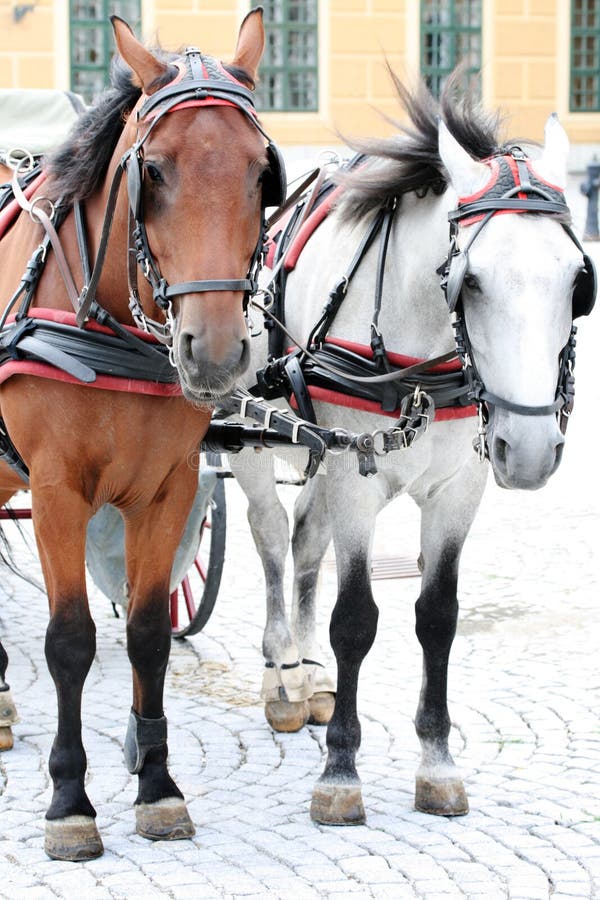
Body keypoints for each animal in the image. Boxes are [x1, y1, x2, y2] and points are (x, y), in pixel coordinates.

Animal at [0, 10, 284, 860]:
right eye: (152, 171)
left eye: (261, 173)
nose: (217, 351)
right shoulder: (56, 491)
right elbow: (70, 640)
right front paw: (69, 800)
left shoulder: (170, 487)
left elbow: (150, 632)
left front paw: (157, 784)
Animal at [229, 72, 596, 824]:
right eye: (470, 280)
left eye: (580, 283)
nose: (531, 449)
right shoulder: (354, 478)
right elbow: (356, 619)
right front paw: (340, 770)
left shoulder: (459, 489)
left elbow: (438, 618)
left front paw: (436, 759)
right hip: (252, 440)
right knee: (271, 537)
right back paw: (282, 674)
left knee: (305, 542)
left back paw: (309, 676)